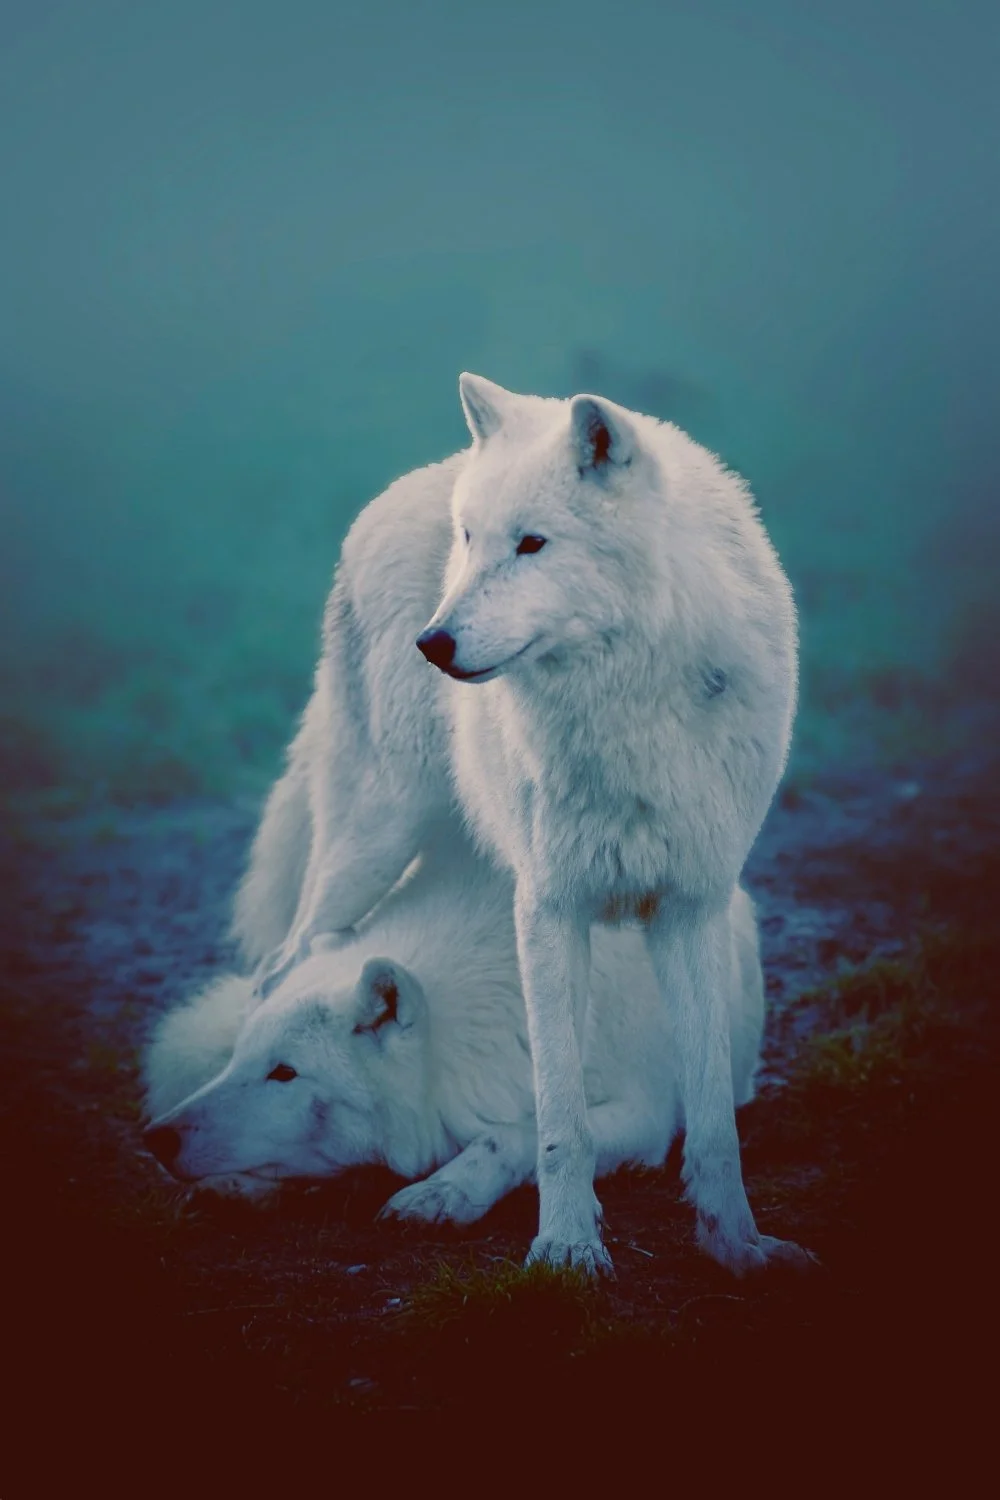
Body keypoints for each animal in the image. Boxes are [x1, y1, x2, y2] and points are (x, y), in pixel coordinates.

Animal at [145, 843, 766, 1219]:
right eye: (239, 1060)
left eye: (284, 1072)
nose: (156, 1138)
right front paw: (237, 1186)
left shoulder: (645, 1116)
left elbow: (516, 1133)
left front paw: (444, 1191)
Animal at [415, 375, 810, 1277]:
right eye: (471, 539)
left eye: (532, 544)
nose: (433, 642)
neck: (624, 711)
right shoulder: (550, 908)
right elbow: (561, 1117)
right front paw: (567, 1249)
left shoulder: (692, 905)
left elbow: (711, 1118)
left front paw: (735, 1241)